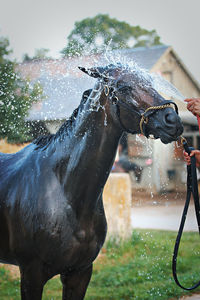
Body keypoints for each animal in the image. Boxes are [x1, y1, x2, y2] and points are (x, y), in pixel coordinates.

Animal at [0, 62, 183, 298]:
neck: (64, 191)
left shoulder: (80, 273)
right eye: (124, 87)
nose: (173, 120)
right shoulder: (31, 275)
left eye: (151, 83)